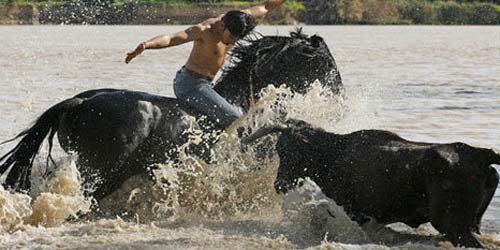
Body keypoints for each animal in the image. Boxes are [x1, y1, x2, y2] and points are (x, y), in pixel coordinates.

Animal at [242, 119, 500, 248]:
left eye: (286, 148)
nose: (278, 184)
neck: (332, 153)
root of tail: (479, 153)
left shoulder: (354, 211)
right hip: (472, 224)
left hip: (454, 226)